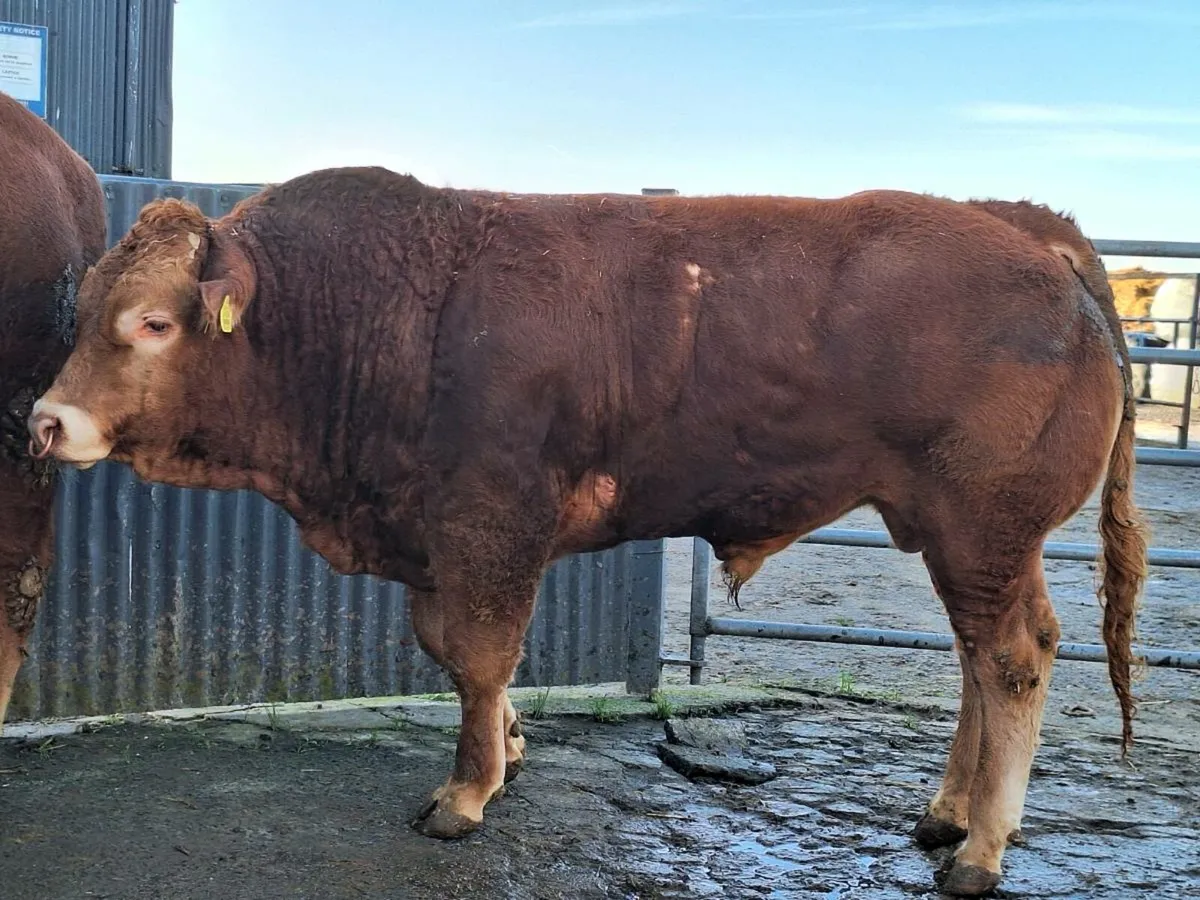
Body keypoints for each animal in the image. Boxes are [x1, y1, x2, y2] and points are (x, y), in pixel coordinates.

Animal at [26, 167, 1146, 897]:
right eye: (85, 310)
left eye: (153, 321)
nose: (46, 420)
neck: (382, 312)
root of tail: (1026, 230)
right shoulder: (440, 536)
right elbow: (458, 655)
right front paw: (510, 749)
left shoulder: (491, 521)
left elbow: (480, 654)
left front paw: (467, 790)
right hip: (966, 536)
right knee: (980, 658)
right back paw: (949, 811)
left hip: (983, 526)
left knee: (1011, 659)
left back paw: (981, 849)